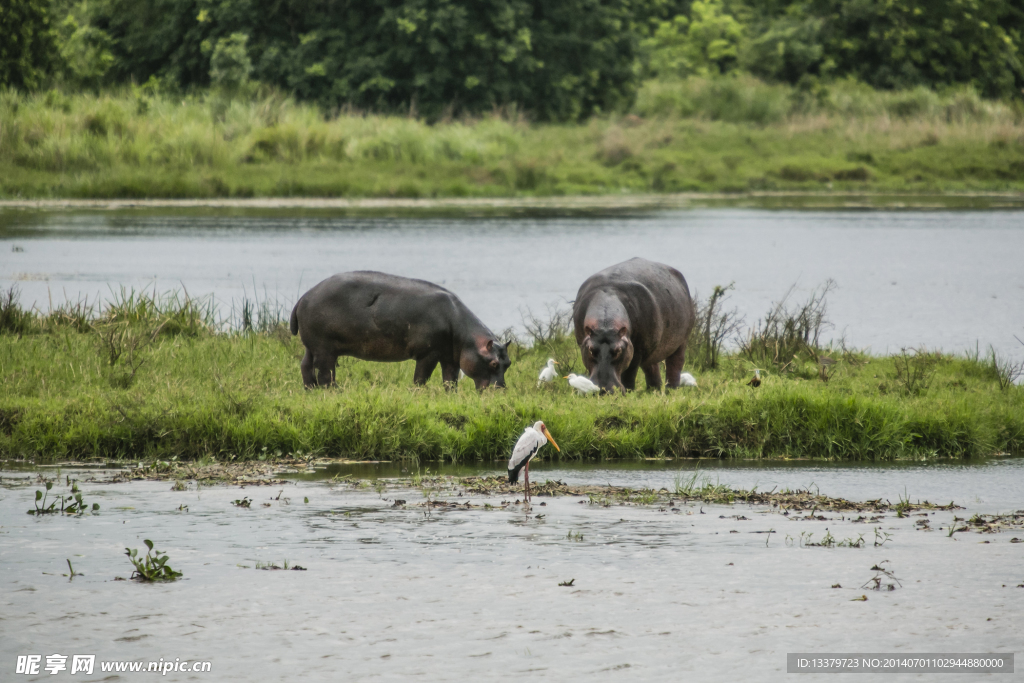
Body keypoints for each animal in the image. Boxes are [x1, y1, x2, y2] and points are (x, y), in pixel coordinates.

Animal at [288, 272, 512, 389]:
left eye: (508, 363)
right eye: (493, 363)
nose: (500, 390)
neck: (466, 335)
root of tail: (304, 297)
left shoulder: (451, 356)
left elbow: (450, 379)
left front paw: (451, 395)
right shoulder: (428, 353)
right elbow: (421, 377)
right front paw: (419, 392)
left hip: (313, 346)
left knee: (305, 366)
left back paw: (310, 389)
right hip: (324, 349)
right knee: (325, 372)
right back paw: (334, 390)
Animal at [577, 258, 696, 395]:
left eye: (618, 351)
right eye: (591, 349)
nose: (604, 390)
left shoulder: (637, 351)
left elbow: (629, 374)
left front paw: (629, 392)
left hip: (681, 342)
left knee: (675, 364)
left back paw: (671, 391)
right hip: (652, 349)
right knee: (651, 367)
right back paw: (653, 390)